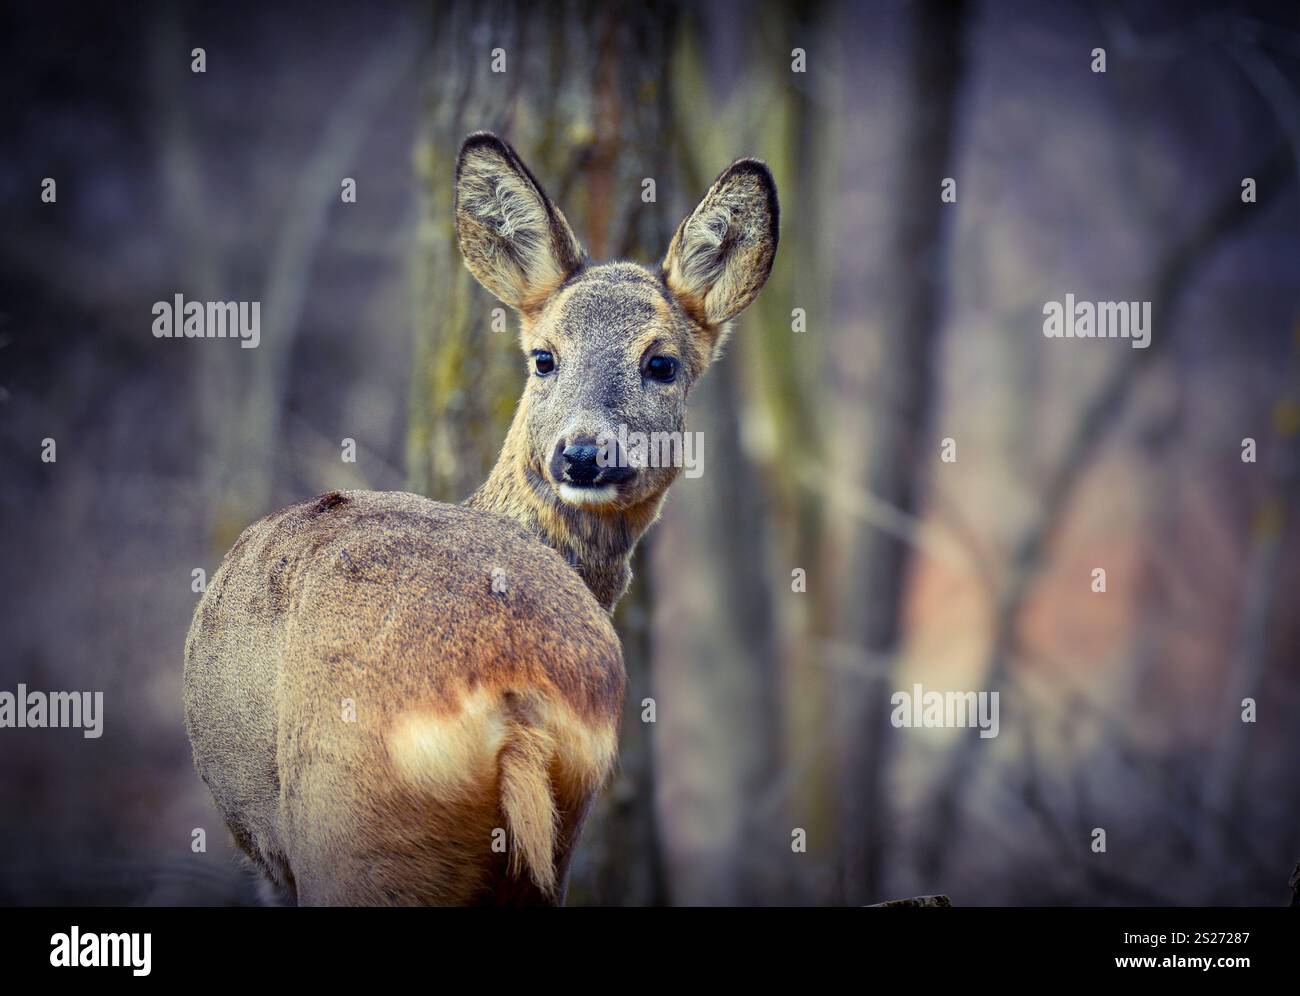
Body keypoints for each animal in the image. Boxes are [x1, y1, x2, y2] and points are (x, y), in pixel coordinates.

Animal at [183, 132, 779, 906]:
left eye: (663, 363)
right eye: (544, 357)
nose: (582, 453)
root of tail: (512, 708)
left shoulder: (266, 853)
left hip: (346, 836)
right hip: (556, 832)